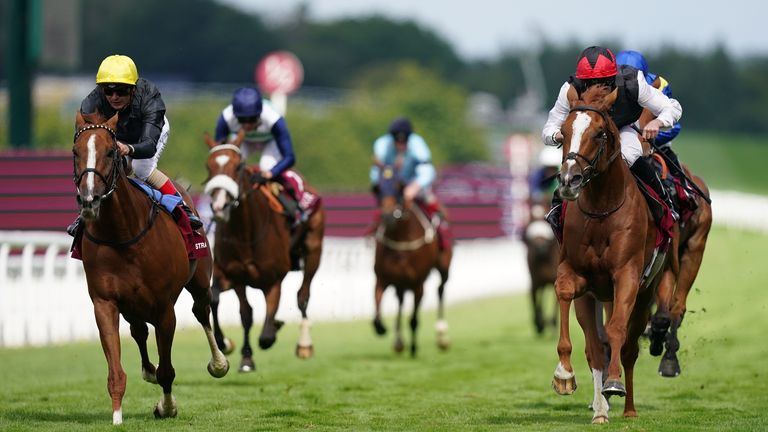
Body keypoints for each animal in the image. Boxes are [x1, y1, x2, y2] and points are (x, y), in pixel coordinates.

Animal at [71, 111, 228, 426]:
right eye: (75, 152)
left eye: (110, 151)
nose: (89, 199)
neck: (123, 234)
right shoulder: (105, 302)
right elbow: (116, 370)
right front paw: (117, 417)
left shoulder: (164, 308)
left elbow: (168, 370)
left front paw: (166, 407)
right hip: (132, 304)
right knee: (139, 330)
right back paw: (148, 370)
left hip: (199, 281)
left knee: (202, 311)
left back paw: (218, 362)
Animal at [201, 129, 324, 372]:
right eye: (208, 166)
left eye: (238, 166)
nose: (219, 206)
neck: (246, 234)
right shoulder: (233, 275)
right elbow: (238, 310)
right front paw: (236, 351)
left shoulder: (273, 280)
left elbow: (267, 332)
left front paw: (272, 329)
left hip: (314, 251)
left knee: (303, 296)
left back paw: (304, 345)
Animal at [370, 164, 450, 356]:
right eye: (378, 188)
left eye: (399, 186)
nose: (388, 216)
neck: (400, 239)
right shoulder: (382, 279)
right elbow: (376, 311)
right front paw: (382, 328)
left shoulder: (417, 283)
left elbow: (413, 319)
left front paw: (413, 349)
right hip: (400, 282)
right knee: (400, 301)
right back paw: (399, 342)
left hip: (444, 267)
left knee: (440, 289)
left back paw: (442, 336)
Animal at [548, 85, 676, 426]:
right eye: (564, 131)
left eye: (599, 133)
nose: (569, 180)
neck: (601, 208)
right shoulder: (577, 274)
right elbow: (564, 294)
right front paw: (564, 374)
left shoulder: (627, 275)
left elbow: (617, 329)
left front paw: (615, 383)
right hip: (595, 298)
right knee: (595, 348)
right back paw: (600, 410)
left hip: (644, 296)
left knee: (629, 347)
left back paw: (627, 406)